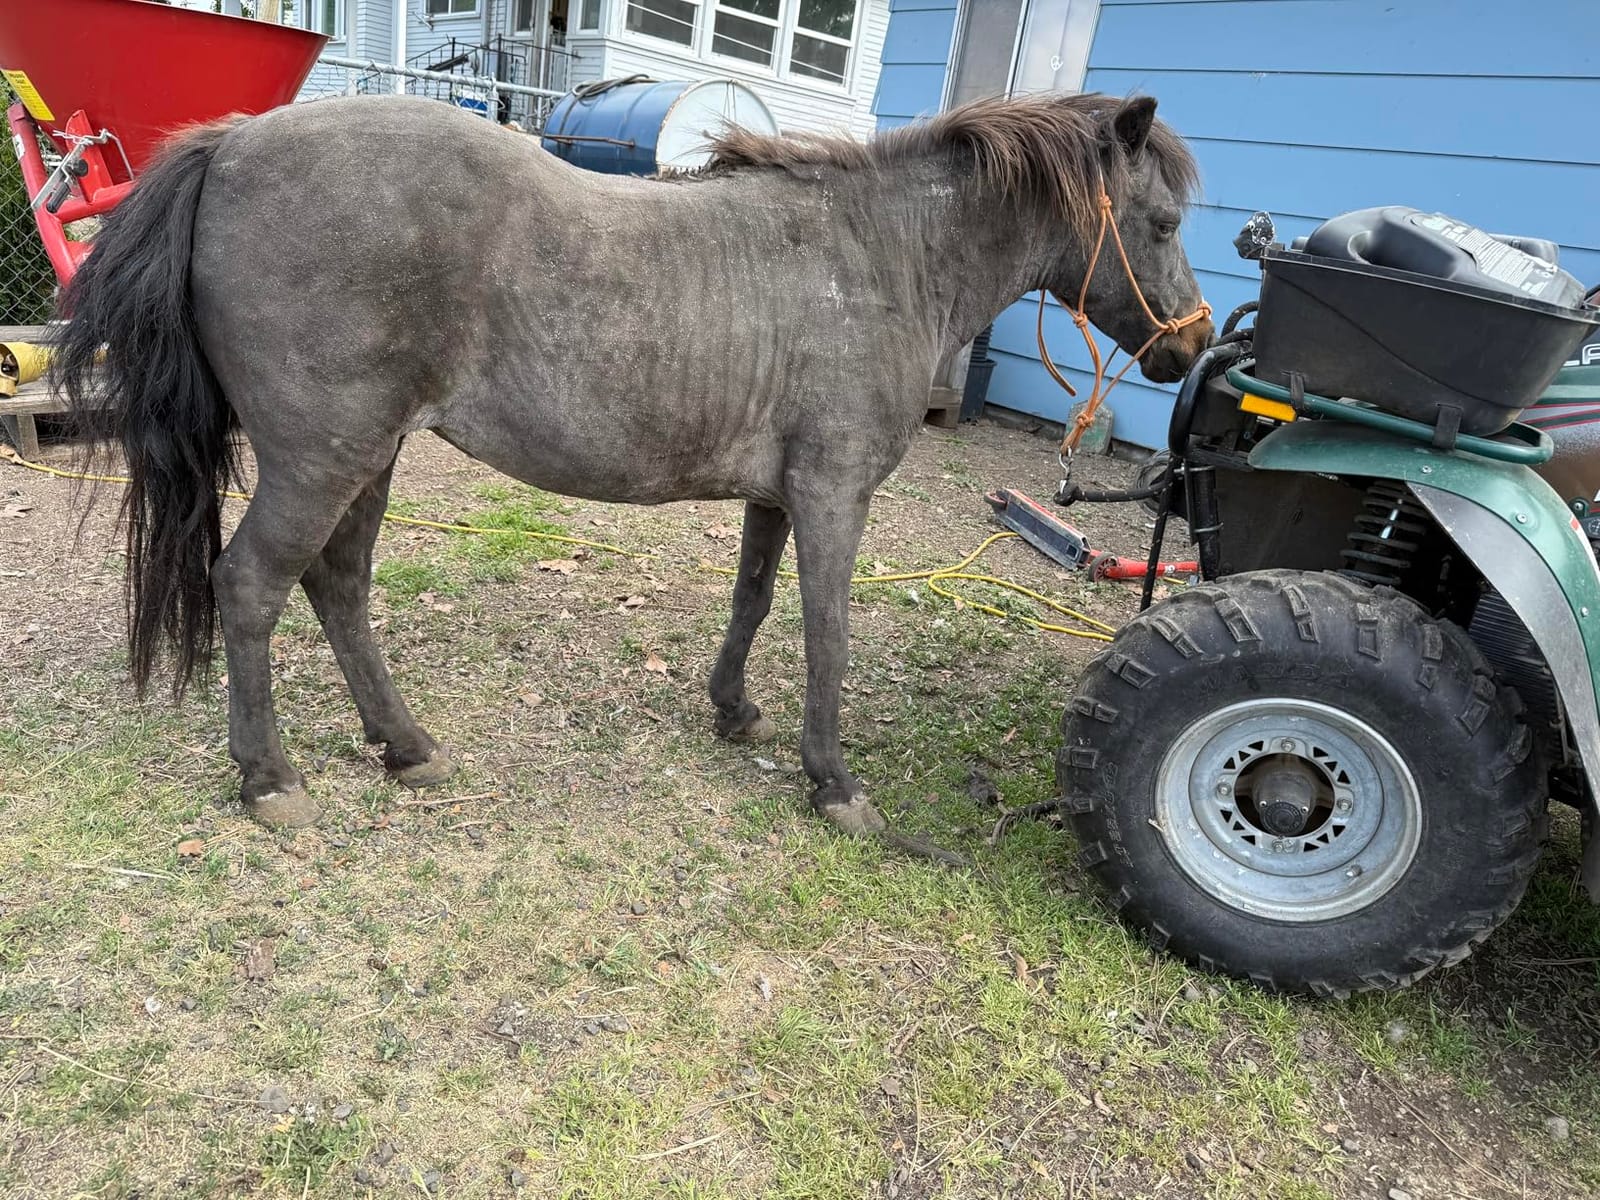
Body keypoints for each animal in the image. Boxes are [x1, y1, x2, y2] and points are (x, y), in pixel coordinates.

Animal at [55, 90, 1211, 845]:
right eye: (1160, 221)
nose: (1192, 345)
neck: (877, 256)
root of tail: (234, 144)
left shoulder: (777, 495)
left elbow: (752, 601)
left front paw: (733, 712)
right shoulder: (834, 494)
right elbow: (826, 634)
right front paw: (833, 781)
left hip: (366, 456)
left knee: (337, 587)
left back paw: (405, 746)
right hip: (319, 457)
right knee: (254, 584)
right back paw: (270, 781)